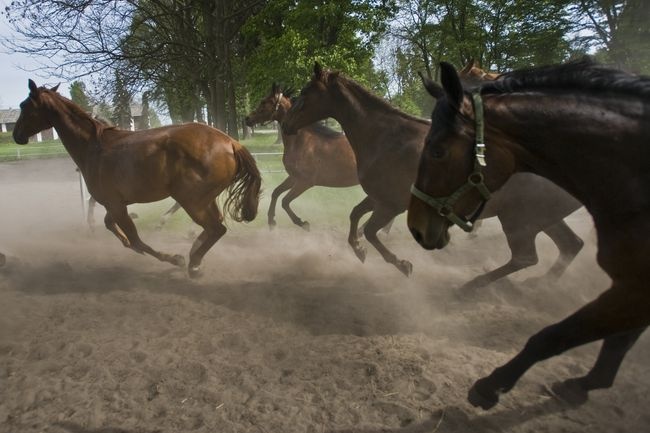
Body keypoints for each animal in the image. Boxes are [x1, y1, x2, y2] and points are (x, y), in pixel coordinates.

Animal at [13, 80, 260, 276]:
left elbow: (136, 241)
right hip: (204, 200)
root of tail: (231, 143)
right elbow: (116, 230)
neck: (94, 147)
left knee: (216, 229)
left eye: (24, 106)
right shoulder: (115, 204)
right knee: (214, 227)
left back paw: (193, 263)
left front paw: (174, 258)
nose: (16, 135)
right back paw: (194, 254)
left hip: (192, 201)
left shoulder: (115, 205)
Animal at [243, 82, 356, 230]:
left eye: (264, 102)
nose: (247, 119)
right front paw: (271, 221)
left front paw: (302, 223)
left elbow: (285, 201)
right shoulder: (294, 177)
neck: (301, 141)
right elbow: (276, 192)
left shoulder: (305, 182)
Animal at [284, 62, 584, 282]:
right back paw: (538, 285)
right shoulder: (379, 199)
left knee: (527, 257)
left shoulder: (392, 205)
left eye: (305, 94)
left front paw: (401, 264)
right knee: (570, 245)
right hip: (540, 218)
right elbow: (355, 216)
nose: (287, 124)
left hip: (519, 221)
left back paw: (473, 287)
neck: (386, 136)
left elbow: (369, 230)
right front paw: (359, 250)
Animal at [410, 60, 648, 408]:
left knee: (529, 255)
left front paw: (490, 385)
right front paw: (586, 383)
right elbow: (616, 341)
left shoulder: (633, 289)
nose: (416, 227)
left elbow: (553, 336)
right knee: (567, 245)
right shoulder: (636, 289)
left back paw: (477, 287)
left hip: (522, 219)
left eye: (438, 151)